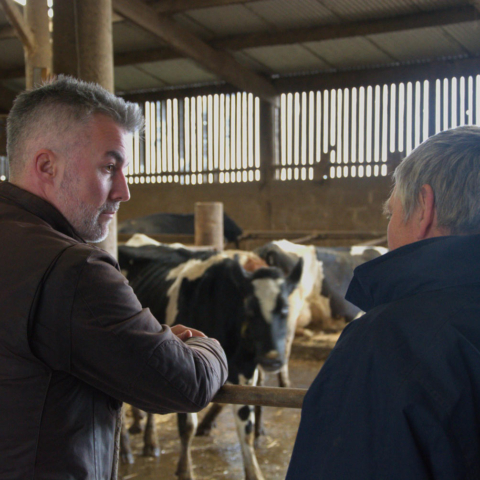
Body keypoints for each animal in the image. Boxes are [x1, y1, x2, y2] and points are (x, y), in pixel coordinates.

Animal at [118, 236, 302, 480]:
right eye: (250, 310)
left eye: (285, 309)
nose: (273, 359)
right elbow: (187, 426)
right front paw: (185, 470)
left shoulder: (246, 372)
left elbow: (246, 426)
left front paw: (253, 472)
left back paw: (150, 442)